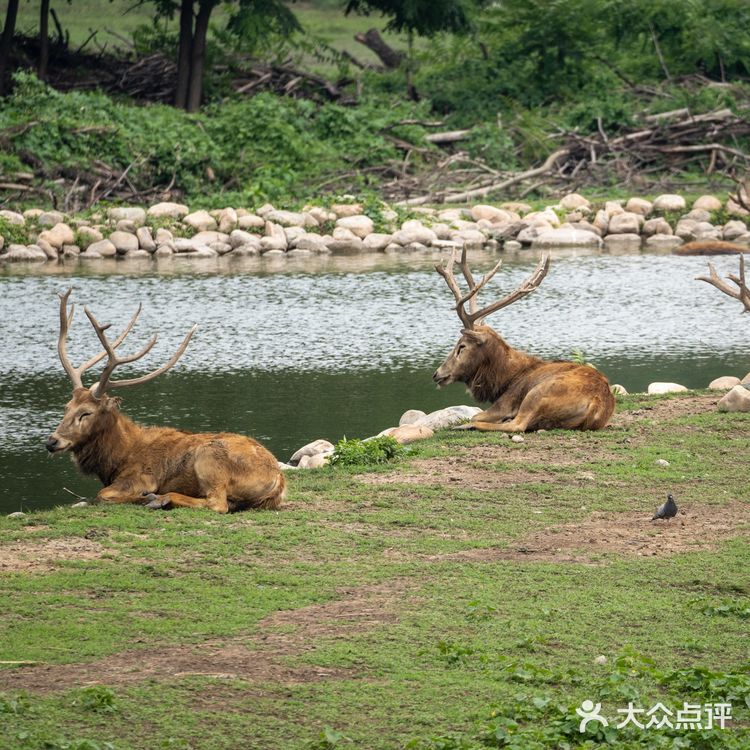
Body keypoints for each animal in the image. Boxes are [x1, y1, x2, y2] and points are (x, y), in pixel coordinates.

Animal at [45, 289, 286, 513]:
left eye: (86, 412)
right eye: (66, 407)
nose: (52, 441)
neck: (116, 458)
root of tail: (278, 481)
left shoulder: (141, 477)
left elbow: (102, 495)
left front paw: (144, 497)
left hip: (209, 458)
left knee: (217, 504)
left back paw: (160, 499)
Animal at [432, 248, 616, 432]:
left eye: (461, 346)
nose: (437, 374)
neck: (503, 381)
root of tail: (596, 404)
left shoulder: (506, 402)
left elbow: (476, 414)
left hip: (537, 393)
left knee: (517, 425)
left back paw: (469, 425)